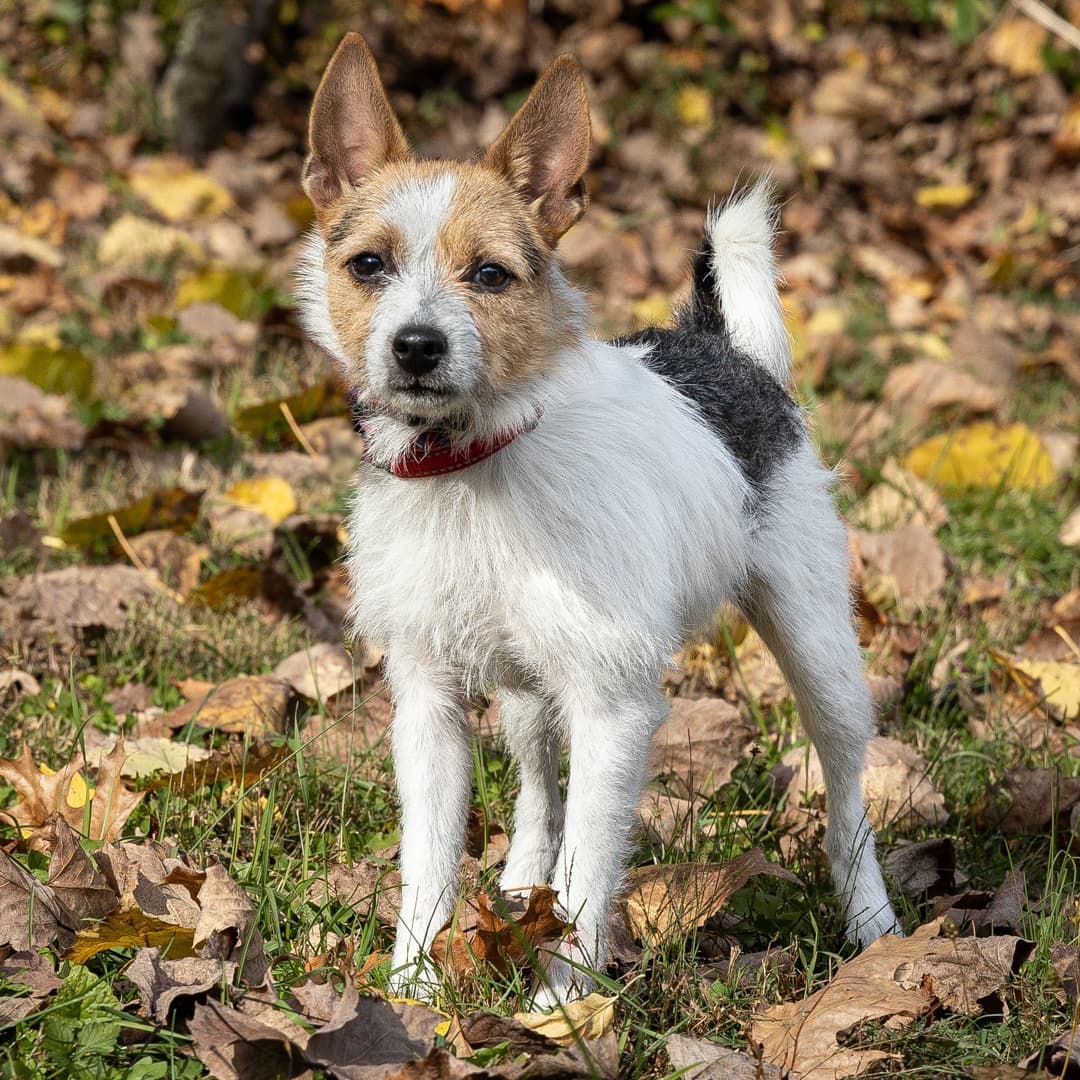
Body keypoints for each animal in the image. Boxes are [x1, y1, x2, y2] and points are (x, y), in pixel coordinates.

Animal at [298, 29, 902, 1002]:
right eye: (368, 266)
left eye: (491, 275)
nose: (416, 346)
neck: (476, 461)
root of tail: (717, 344)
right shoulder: (428, 705)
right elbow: (430, 859)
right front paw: (412, 991)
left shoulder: (612, 708)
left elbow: (589, 865)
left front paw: (562, 1005)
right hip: (523, 688)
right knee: (539, 786)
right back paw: (518, 882)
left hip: (820, 655)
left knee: (846, 787)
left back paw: (873, 921)